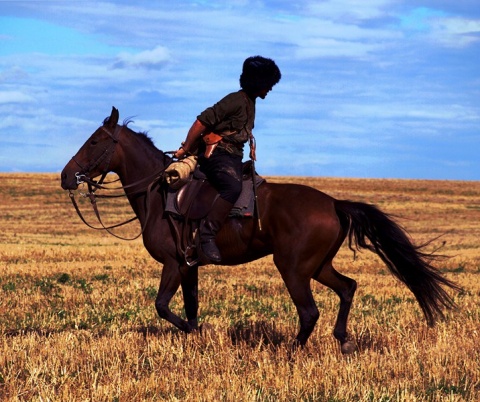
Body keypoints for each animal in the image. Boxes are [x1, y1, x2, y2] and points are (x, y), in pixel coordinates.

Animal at [60, 106, 462, 352]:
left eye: (94, 141)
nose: (66, 176)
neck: (161, 194)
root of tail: (333, 203)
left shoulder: (173, 264)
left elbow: (162, 306)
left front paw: (197, 333)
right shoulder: (190, 266)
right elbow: (190, 307)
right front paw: (198, 336)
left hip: (294, 269)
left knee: (309, 312)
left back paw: (292, 351)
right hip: (319, 266)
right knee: (347, 288)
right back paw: (343, 340)